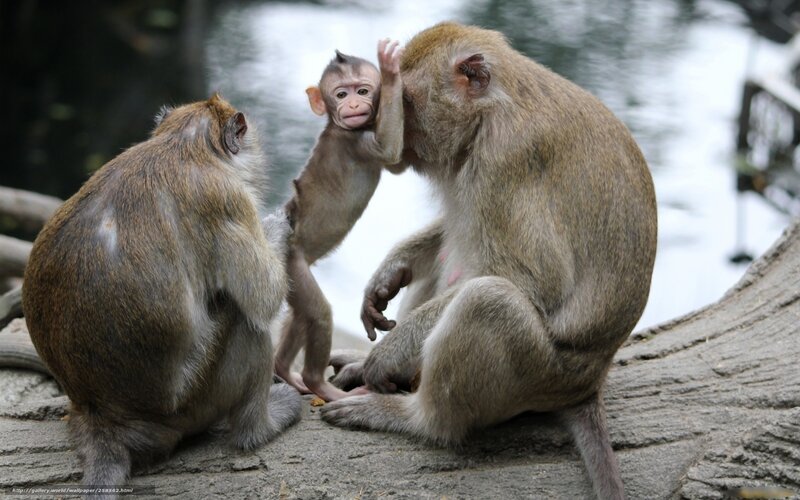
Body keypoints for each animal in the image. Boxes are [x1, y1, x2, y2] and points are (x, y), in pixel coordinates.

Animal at [21, 94, 302, 497]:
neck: (181, 144)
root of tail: (102, 419)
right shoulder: (227, 199)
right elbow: (264, 298)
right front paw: (277, 223)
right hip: (195, 401)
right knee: (244, 320)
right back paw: (259, 428)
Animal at [274, 39, 406, 402]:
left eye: (362, 90)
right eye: (341, 94)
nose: (355, 104)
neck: (341, 126)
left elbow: (396, 163)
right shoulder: (357, 143)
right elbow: (390, 150)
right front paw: (391, 71)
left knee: (299, 316)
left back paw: (286, 373)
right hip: (292, 264)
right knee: (317, 314)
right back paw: (322, 386)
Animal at [321, 23, 658, 500]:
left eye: (404, 101)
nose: (384, 141)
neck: (489, 113)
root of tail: (588, 384)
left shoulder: (507, 161)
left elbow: (533, 281)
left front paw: (387, 354)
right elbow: (451, 231)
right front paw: (390, 271)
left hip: (540, 374)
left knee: (488, 301)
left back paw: (412, 417)